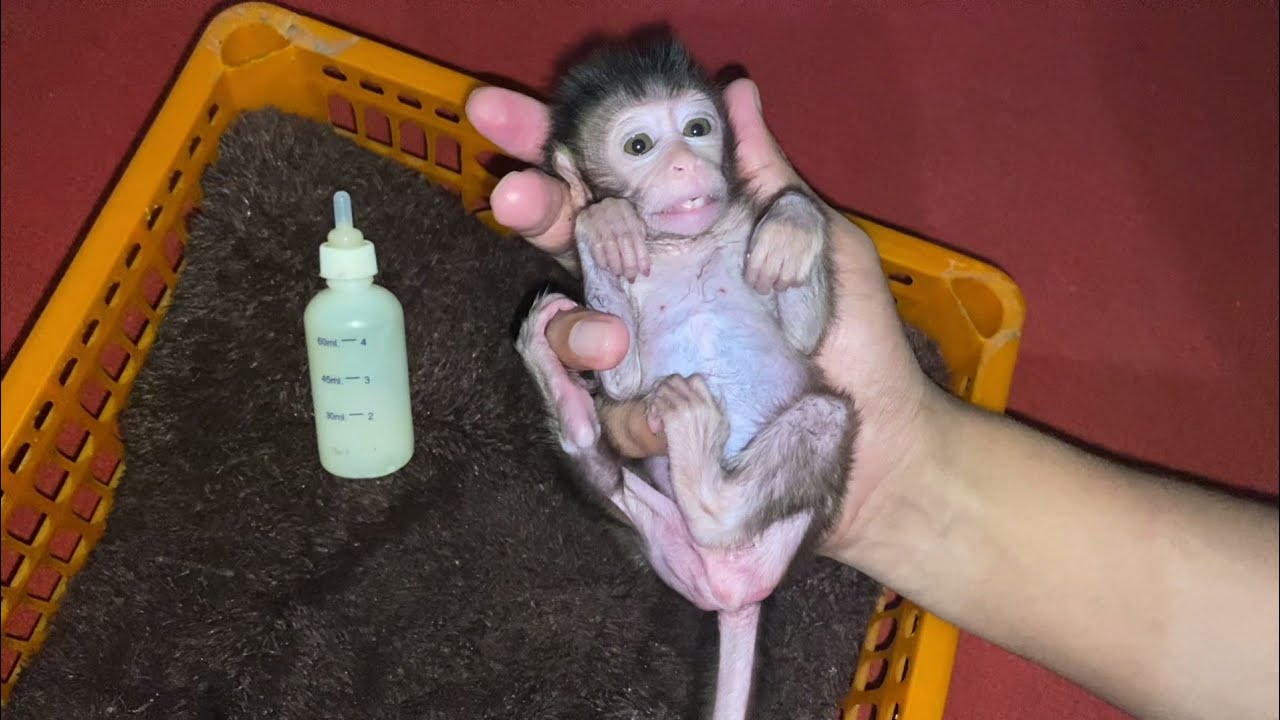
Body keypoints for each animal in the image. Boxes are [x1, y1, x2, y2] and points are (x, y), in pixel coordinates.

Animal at [514, 38, 861, 720]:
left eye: (698, 130)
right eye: (640, 144)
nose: (682, 164)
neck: (682, 244)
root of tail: (732, 594)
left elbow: (805, 337)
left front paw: (793, 223)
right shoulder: (621, 362)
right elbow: (622, 382)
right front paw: (606, 225)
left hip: (785, 530)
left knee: (825, 417)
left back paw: (707, 485)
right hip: (660, 536)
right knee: (596, 461)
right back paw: (556, 373)